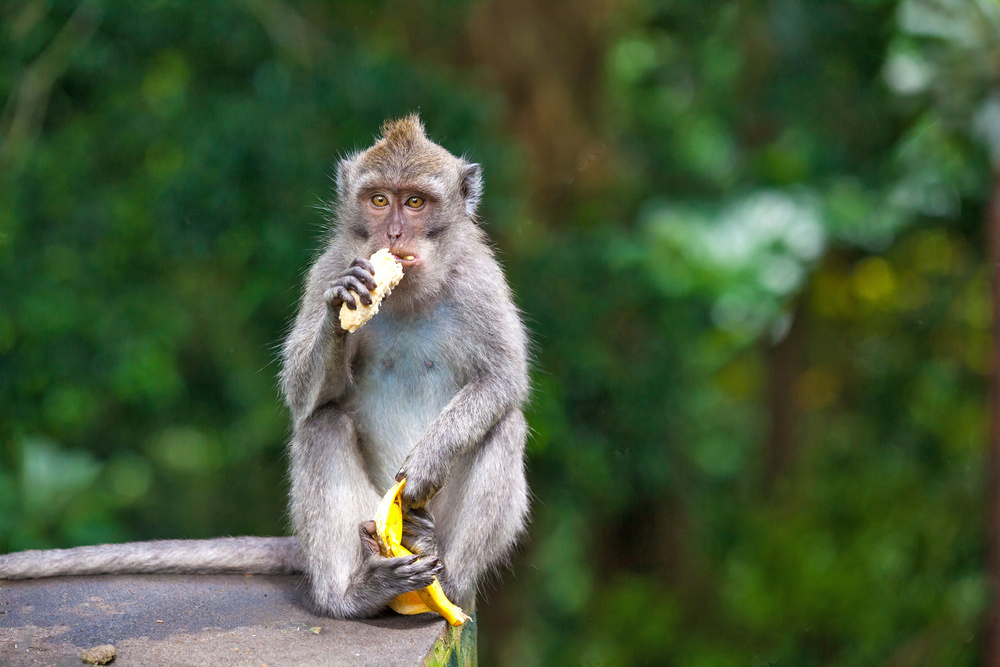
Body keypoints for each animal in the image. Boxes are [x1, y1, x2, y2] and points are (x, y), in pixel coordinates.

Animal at [0, 116, 532, 620]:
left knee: (504, 427)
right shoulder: (330, 264)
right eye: (380, 200)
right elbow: (305, 396)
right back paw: (352, 594)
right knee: (322, 424)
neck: (409, 294)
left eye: (416, 202)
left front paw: (427, 460)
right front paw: (341, 309)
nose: (394, 234)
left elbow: (502, 382)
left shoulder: (480, 279)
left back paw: (445, 570)